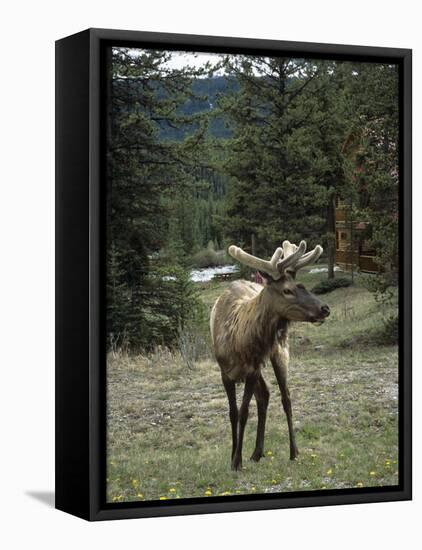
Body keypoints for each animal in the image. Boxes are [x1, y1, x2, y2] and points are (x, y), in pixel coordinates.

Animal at [210, 239, 330, 472]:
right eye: (287, 290)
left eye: (301, 285)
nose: (325, 308)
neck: (239, 342)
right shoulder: (225, 372)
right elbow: (233, 413)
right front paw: (233, 456)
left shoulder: (252, 370)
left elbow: (244, 412)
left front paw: (237, 460)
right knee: (265, 395)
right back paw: (257, 452)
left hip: (279, 352)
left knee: (286, 397)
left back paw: (293, 451)